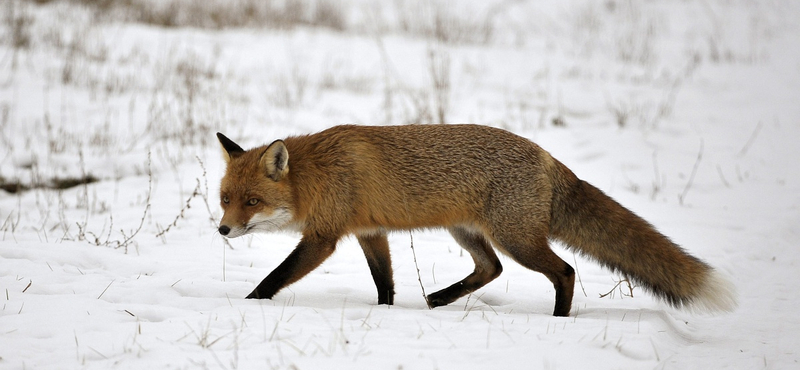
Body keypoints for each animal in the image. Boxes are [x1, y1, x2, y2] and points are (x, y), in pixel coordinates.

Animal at [214, 125, 736, 316]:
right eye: (224, 199)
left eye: (252, 201)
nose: (222, 230)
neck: (315, 175)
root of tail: (548, 157)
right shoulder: (370, 232)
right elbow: (385, 282)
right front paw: (384, 314)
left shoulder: (323, 238)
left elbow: (274, 276)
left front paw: (248, 304)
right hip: (468, 233)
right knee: (491, 269)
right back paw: (440, 299)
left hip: (516, 239)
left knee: (564, 271)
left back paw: (560, 319)